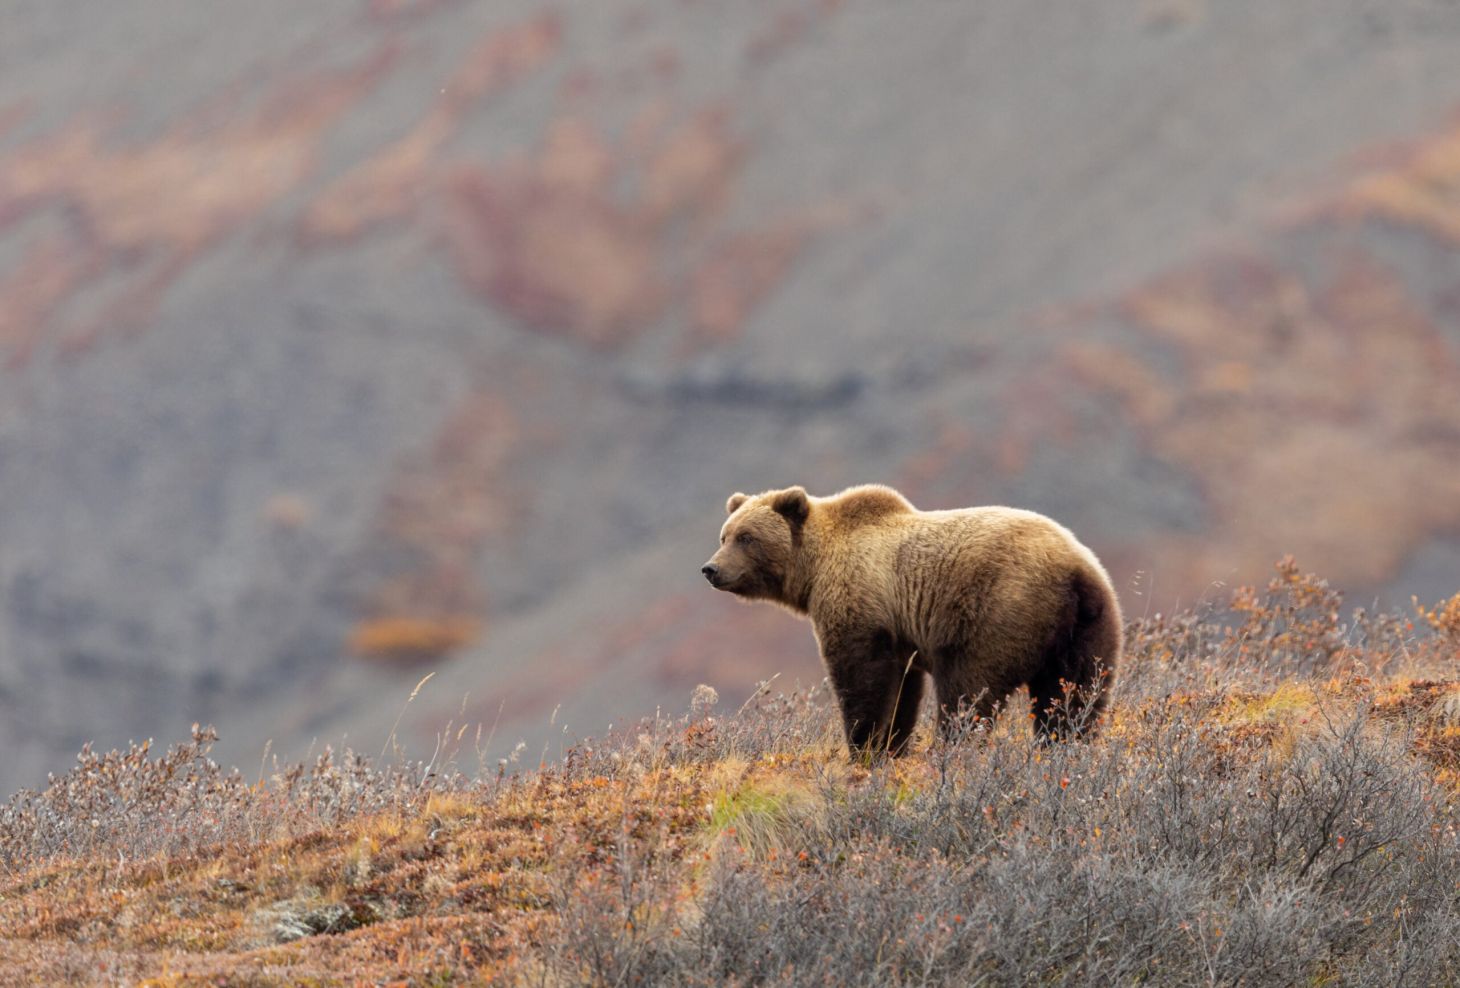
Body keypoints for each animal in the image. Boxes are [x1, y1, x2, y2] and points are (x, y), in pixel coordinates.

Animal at [700, 484, 1121, 756]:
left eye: (746, 537)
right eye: (724, 535)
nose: (711, 569)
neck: (814, 570)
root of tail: (1074, 571)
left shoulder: (861, 604)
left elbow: (862, 679)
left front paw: (864, 747)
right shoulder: (900, 634)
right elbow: (903, 691)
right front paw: (892, 746)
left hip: (998, 611)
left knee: (968, 691)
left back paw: (953, 749)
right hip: (1088, 628)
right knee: (1075, 696)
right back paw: (1064, 748)